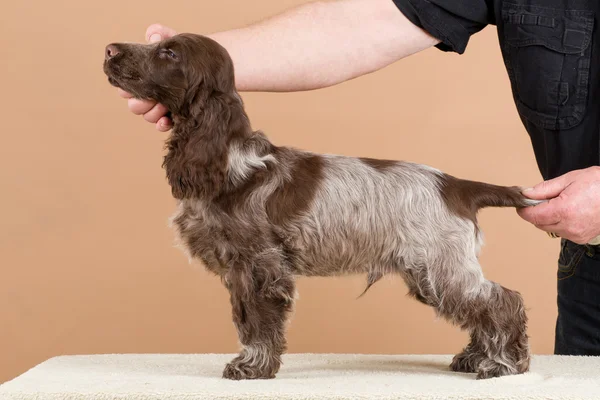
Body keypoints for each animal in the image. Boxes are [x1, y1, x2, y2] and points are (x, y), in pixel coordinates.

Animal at [104, 32, 540, 380]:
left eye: (170, 53)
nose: (110, 49)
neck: (228, 160)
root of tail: (457, 186)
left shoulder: (259, 265)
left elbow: (259, 323)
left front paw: (252, 367)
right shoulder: (238, 270)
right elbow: (244, 319)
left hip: (439, 266)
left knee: (502, 301)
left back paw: (504, 363)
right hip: (429, 272)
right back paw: (476, 357)